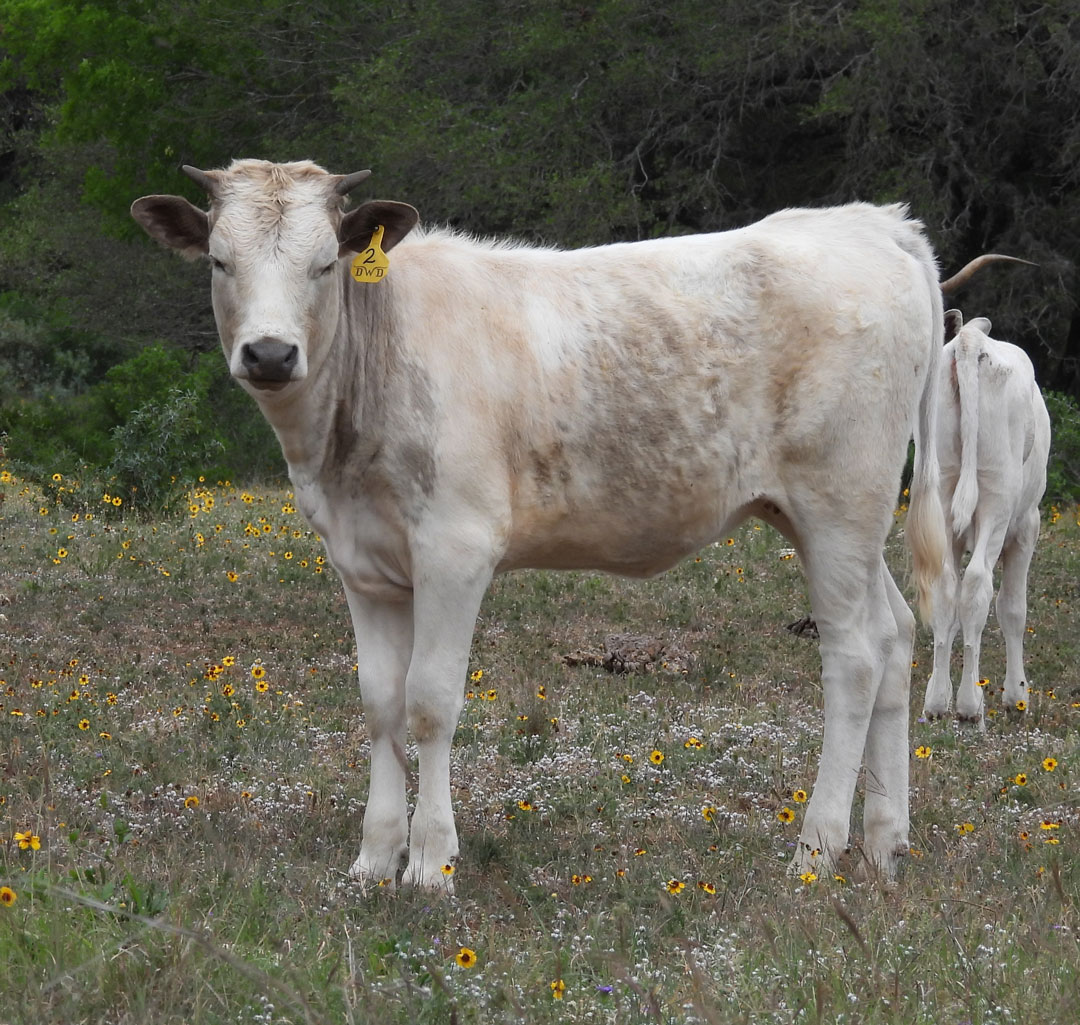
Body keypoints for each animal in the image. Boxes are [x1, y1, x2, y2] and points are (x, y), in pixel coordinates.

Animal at [132, 159, 946, 889]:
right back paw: (884, 844)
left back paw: (816, 850)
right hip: (839, 527)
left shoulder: (455, 548)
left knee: (854, 658)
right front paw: (372, 860)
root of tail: (870, 221)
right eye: (219, 260)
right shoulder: (362, 561)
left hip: (839, 507)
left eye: (324, 263)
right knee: (896, 634)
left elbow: (430, 701)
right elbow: (380, 706)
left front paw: (429, 864)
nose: (270, 353)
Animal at [924, 308, 1049, 721]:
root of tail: (970, 341)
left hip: (941, 488)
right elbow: (1013, 608)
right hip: (998, 497)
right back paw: (969, 704)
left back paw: (936, 702)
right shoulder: (1027, 524)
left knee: (946, 585)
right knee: (978, 584)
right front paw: (1016, 694)